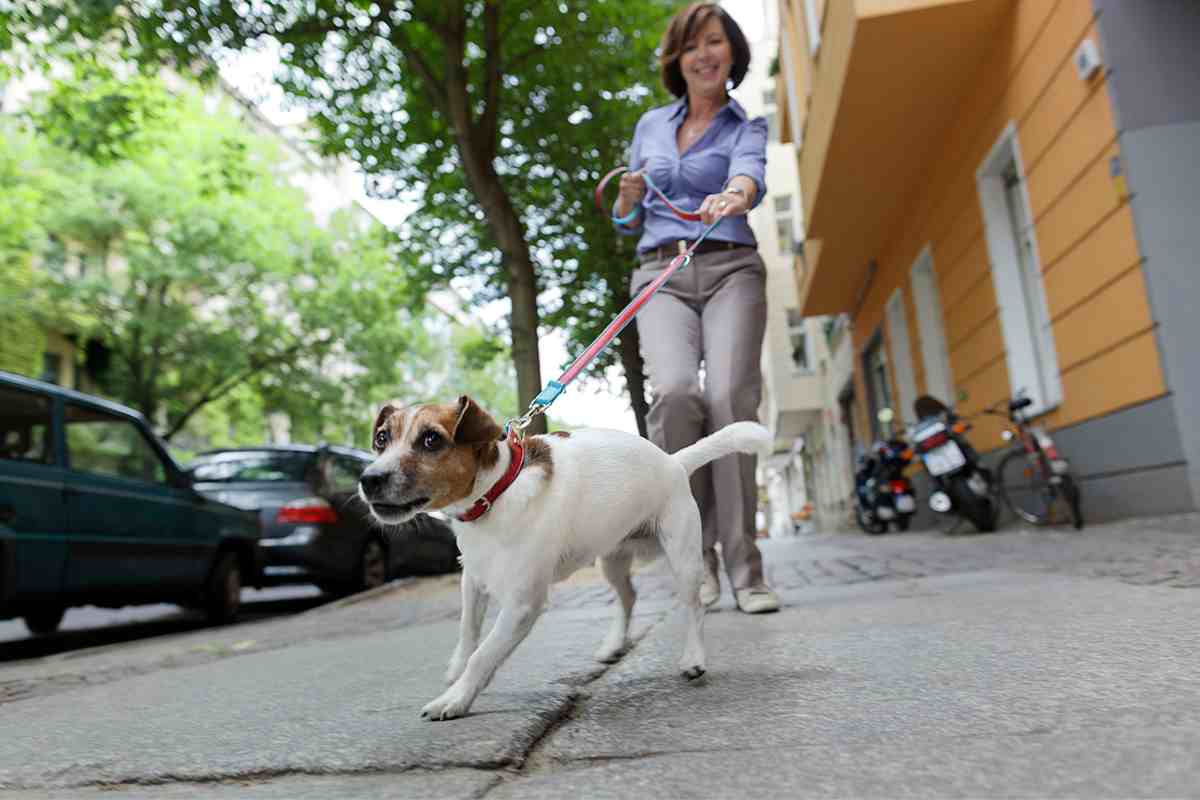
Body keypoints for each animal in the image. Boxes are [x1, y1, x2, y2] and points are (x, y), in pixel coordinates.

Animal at [355, 398, 768, 724]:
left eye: (431, 439)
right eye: (381, 439)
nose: (368, 479)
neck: (495, 495)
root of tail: (674, 462)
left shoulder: (522, 604)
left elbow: (484, 654)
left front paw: (455, 698)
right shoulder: (472, 579)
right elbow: (468, 631)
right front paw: (456, 671)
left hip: (682, 558)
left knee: (694, 607)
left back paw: (694, 658)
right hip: (612, 559)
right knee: (628, 597)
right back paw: (613, 644)